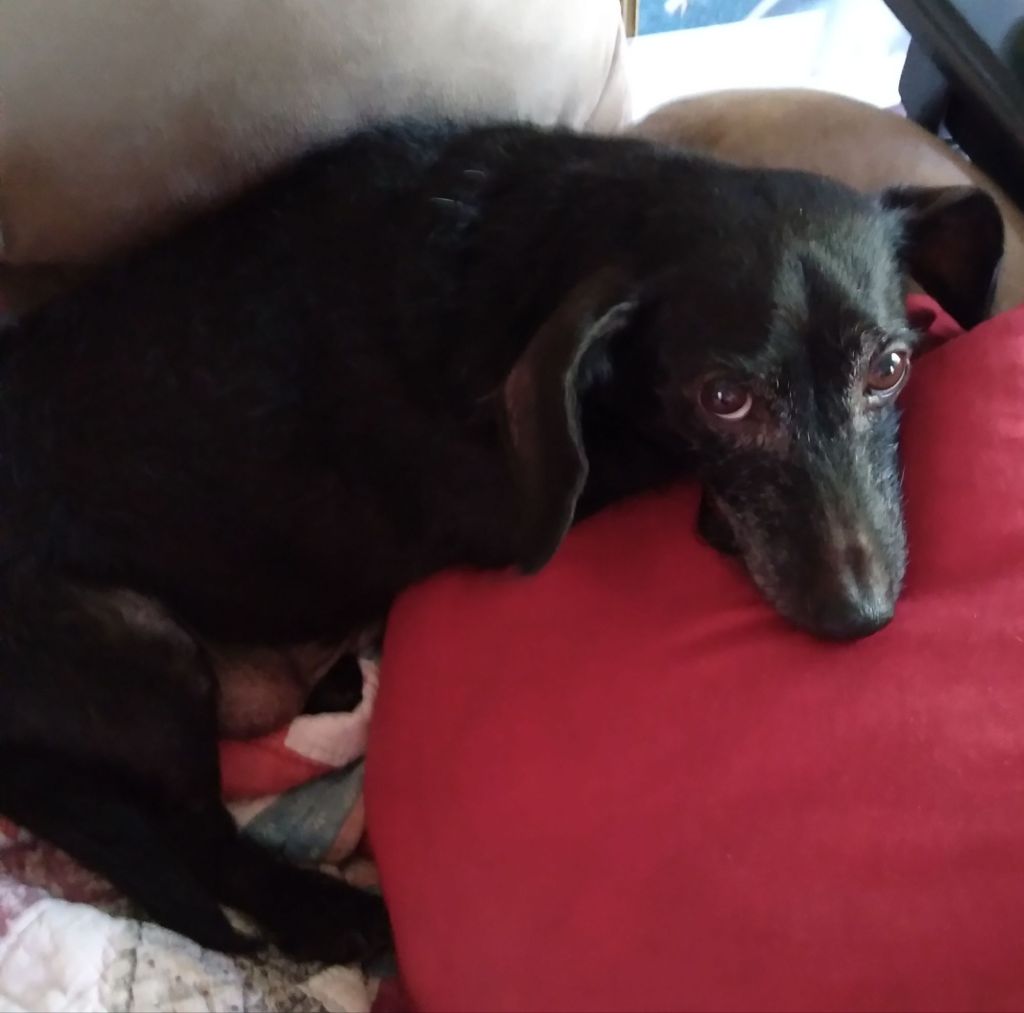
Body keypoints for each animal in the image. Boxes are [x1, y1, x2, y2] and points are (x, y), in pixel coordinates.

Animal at [0, 121, 1002, 962]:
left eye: (890, 367)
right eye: (725, 398)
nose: (859, 616)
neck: (562, 245)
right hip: (146, 648)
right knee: (201, 837)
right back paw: (331, 914)